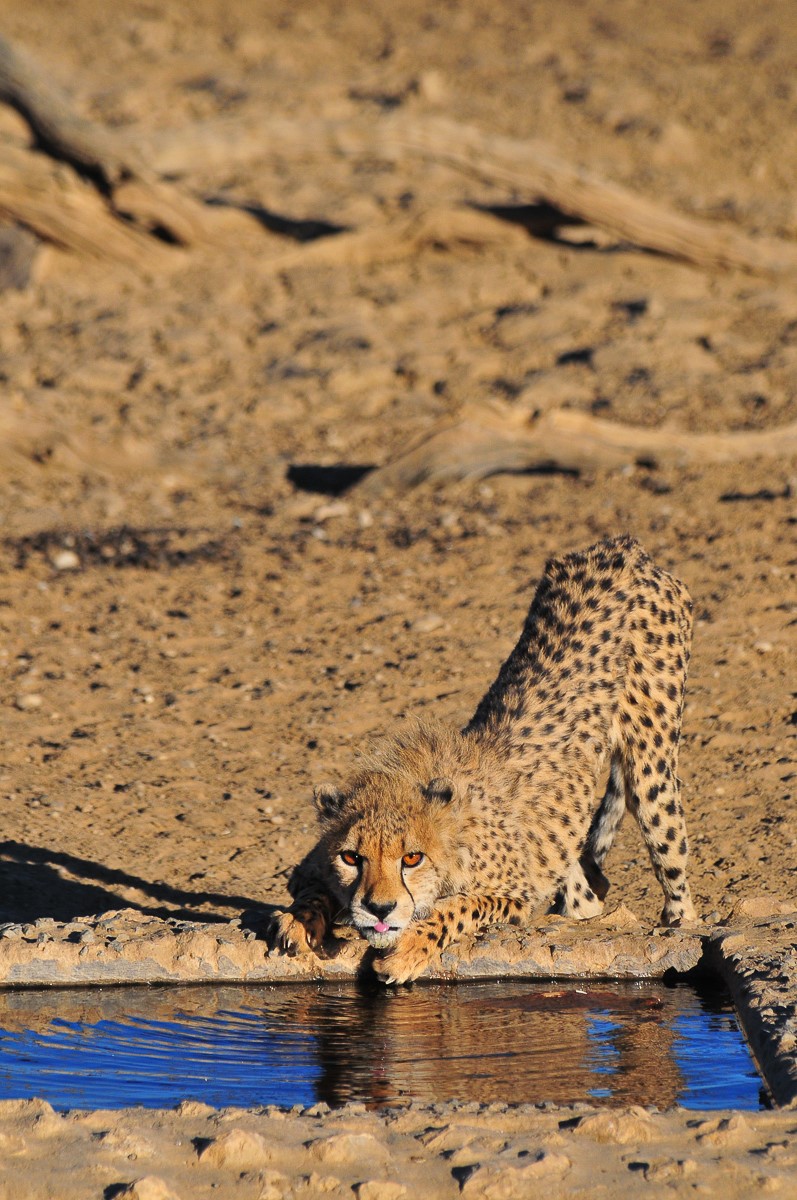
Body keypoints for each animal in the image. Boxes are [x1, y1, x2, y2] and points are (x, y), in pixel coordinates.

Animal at [267, 534, 698, 984]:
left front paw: (409, 950)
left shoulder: (515, 894)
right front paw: (298, 922)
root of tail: (622, 546)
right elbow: (311, 892)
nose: (379, 909)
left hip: (651, 766)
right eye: (352, 857)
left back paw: (678, 923)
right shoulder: (310, 869)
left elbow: (459, 908)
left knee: (673, 868)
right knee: (583, 891)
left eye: (412, 858)